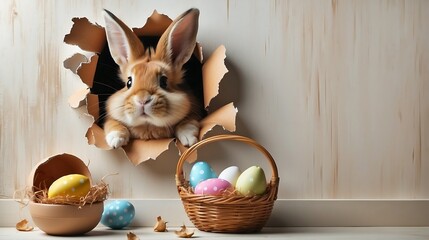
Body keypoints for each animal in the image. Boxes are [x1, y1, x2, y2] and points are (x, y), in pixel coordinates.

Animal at [103, 7, 205, 148]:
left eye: (164, 81)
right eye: (129, 82)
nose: (142, 100)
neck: (148, 125)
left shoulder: (194, 111)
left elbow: (188, 122)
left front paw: (189, 140)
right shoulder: (110, 117)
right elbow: (112, 124)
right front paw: (116, 141)